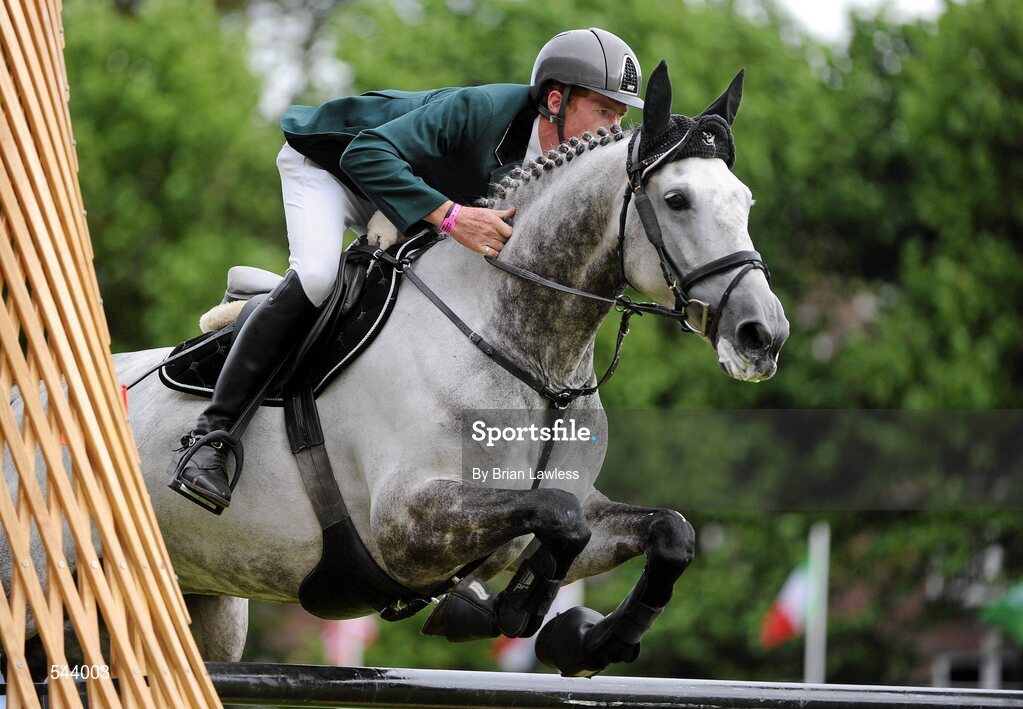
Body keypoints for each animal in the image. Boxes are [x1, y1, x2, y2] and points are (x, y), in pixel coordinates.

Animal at [2, 62, 788, 676]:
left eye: (746, 201)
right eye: (676, 199)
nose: (763, 335)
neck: (531, 349)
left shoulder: (569, 514)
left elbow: (666, 532)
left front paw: (590, 639)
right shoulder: (405, 522)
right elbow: (556, 525)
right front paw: (509, 611)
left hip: (203, 610)